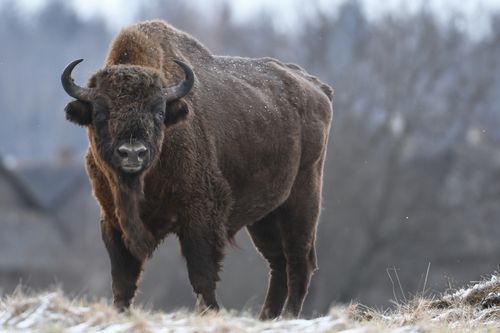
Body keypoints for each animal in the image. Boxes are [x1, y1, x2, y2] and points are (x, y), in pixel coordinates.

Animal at [61, 19, 332, 318]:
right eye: (99, 113)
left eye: (158, 112)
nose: (132, 153)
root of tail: (317, 88)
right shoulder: (113, 220)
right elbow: (123, 280)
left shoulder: (201, 215)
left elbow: (202, 275)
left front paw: (211, 311)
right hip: (266, 216)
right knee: (278, 263)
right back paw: (267, 317)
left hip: (302, 200)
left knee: (299, 260)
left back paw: (288, 315)